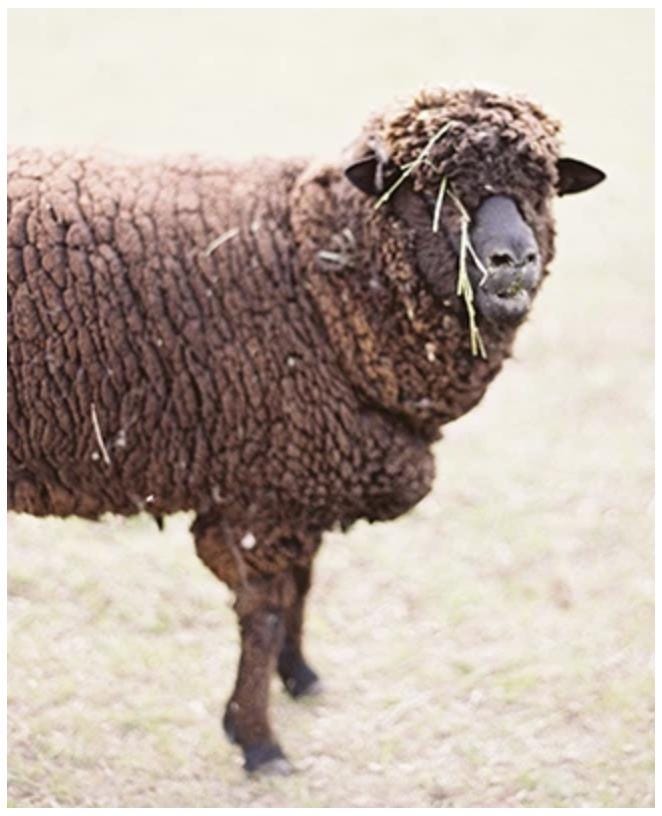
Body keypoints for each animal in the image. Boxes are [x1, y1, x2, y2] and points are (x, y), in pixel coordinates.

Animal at [7, 87, 605, 775]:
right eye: (428, 189)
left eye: (543, 190)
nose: (514, 261)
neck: (316, 276)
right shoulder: (264, 491)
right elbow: (265, 612)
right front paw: (258, 739)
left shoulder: (298, 482)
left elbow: (303, 583)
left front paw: (298, 677)